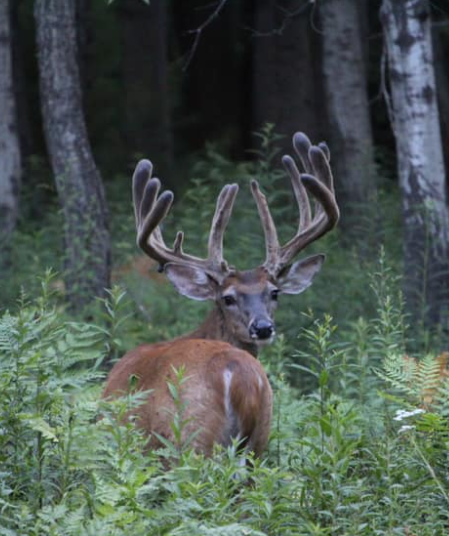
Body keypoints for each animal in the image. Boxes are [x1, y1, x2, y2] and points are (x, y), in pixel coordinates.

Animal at [102, 132, 340, 458]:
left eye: (274, 292)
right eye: (227, 298)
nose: (263, 328)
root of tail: (239, 377)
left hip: (193, 440)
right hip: (259, 440)